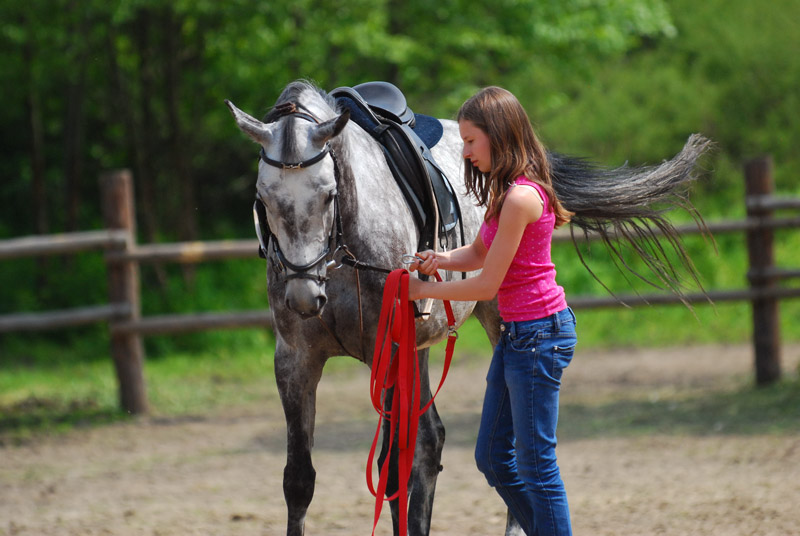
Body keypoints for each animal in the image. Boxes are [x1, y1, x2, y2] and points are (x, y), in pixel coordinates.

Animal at [227, 79, 712, 536]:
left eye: (328, 195)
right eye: (263, 200)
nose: (303, 298)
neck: (344, 251)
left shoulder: (389, 353)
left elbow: (390, 470)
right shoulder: (296, 361)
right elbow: (299, 480)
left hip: (492, 323)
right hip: (420, 351)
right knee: (430, 442)